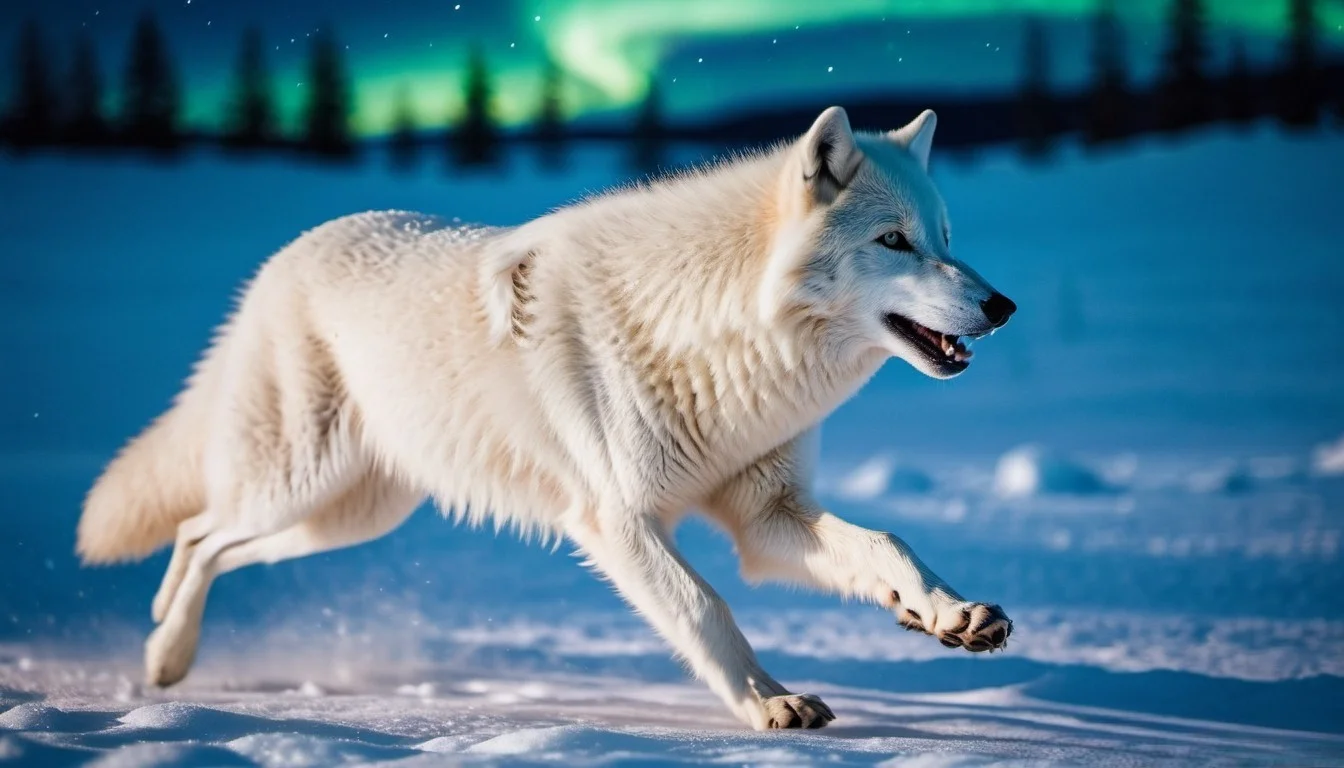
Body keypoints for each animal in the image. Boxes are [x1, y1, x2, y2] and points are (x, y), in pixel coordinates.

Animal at [78, 106, 1017, 730]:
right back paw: (163, 655)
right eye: (893, 242)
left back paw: (169, 651)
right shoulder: (616, 520)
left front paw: (948, 615)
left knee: (212, 542)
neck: (718, 331)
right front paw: (769, 701)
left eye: (945, 236)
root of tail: (282, 257)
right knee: (199, 531)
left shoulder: (766, 515)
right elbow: (703, 607)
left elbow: (889, 546)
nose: (1002, 305)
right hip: (297, 486)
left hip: (344, 517)